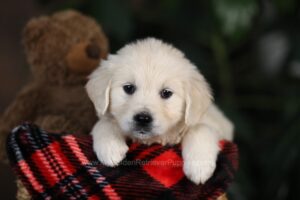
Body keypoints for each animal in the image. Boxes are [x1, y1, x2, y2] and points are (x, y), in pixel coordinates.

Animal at [85, 37, 233, 184]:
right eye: (128, 88)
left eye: (166, 93)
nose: (143, 118)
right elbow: (105, 122)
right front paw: (110, 146)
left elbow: (199, 128)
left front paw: (199, 167)